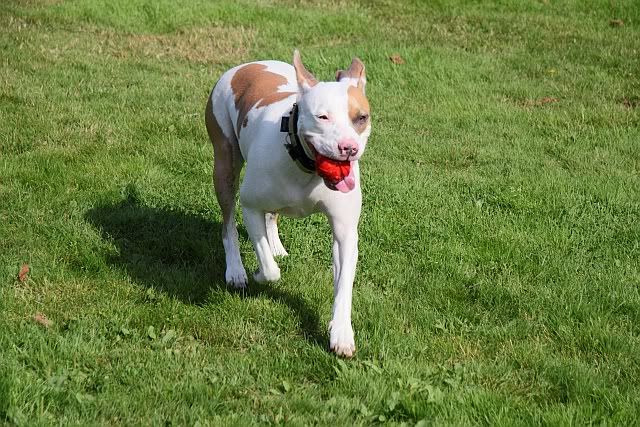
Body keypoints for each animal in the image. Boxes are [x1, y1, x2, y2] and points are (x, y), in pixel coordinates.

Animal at [204, 50, 371, 357]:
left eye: (361, 117)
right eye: (322, 117)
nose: (349, 148)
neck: (306, 165)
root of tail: (248, 65)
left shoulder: (345, 232)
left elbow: (344, 285)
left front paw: (341, 332)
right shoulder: (251, 206)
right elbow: (270, 271)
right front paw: (258, 272)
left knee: (273, 215)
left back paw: (277, 247)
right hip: (224, 162)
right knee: (228, 223)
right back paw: (236, 269)